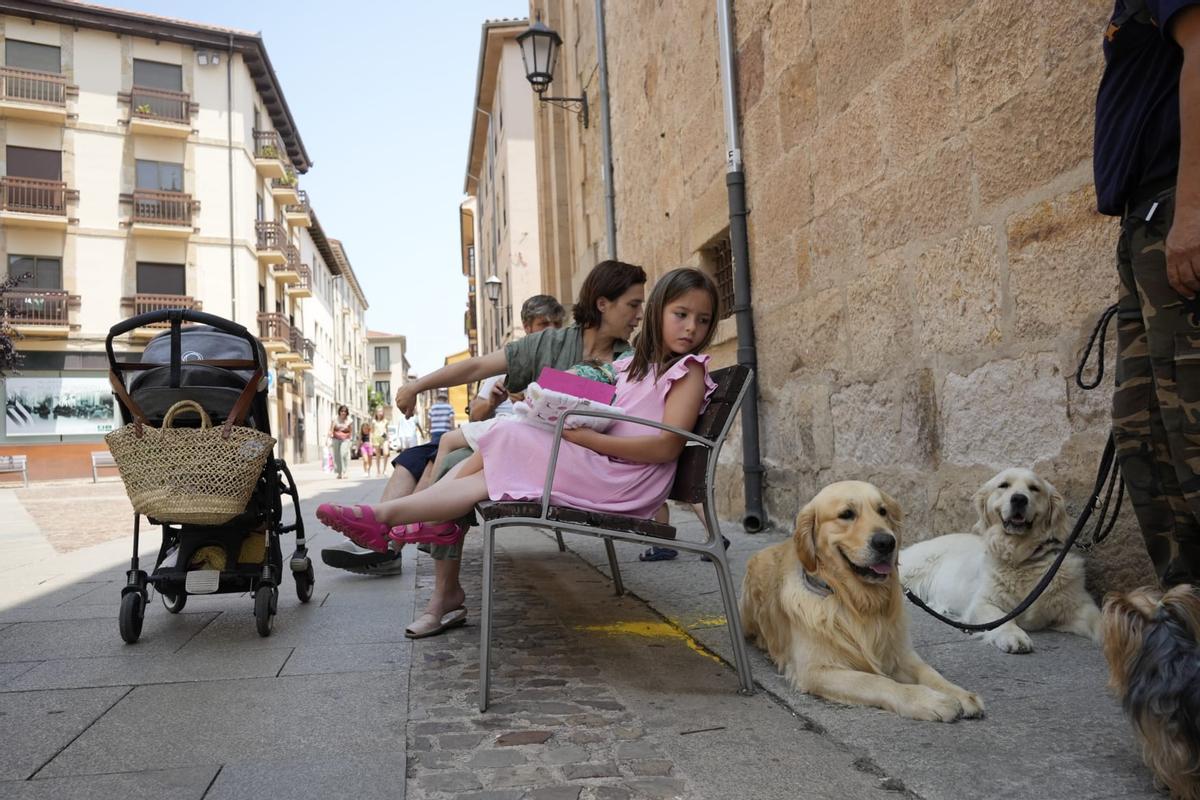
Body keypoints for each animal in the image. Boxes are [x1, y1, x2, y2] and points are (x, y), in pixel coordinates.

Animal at [739, 482, 984, 724]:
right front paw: (929, 700)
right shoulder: (817, 670)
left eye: (883, 511)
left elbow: (928, 671)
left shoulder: (900, 653)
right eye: (846, 514)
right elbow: (879, 681)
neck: (855, 600)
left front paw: (959, 694)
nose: (886, 542)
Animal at [902, 470, 1099, 657]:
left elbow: (1098, 620)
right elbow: (1002, 620)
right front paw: (1014, 636)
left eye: (1034, 488)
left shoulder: (1077, 605)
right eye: (1004, 485)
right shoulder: (983, 603)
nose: (1019, 499)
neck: (1022, 558)